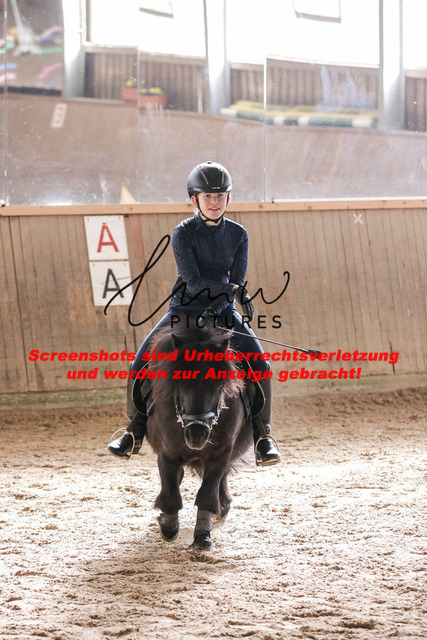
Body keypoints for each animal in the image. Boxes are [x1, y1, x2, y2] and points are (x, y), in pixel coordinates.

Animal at [140, 323, 254, 551]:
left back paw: (223, 503)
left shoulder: (221, 454)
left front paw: (202, 537)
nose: (197, 433)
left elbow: (207, 494)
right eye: (180, 381)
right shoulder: (167, 453)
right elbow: (171, 493)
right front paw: (168, 525)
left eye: (219, 385)